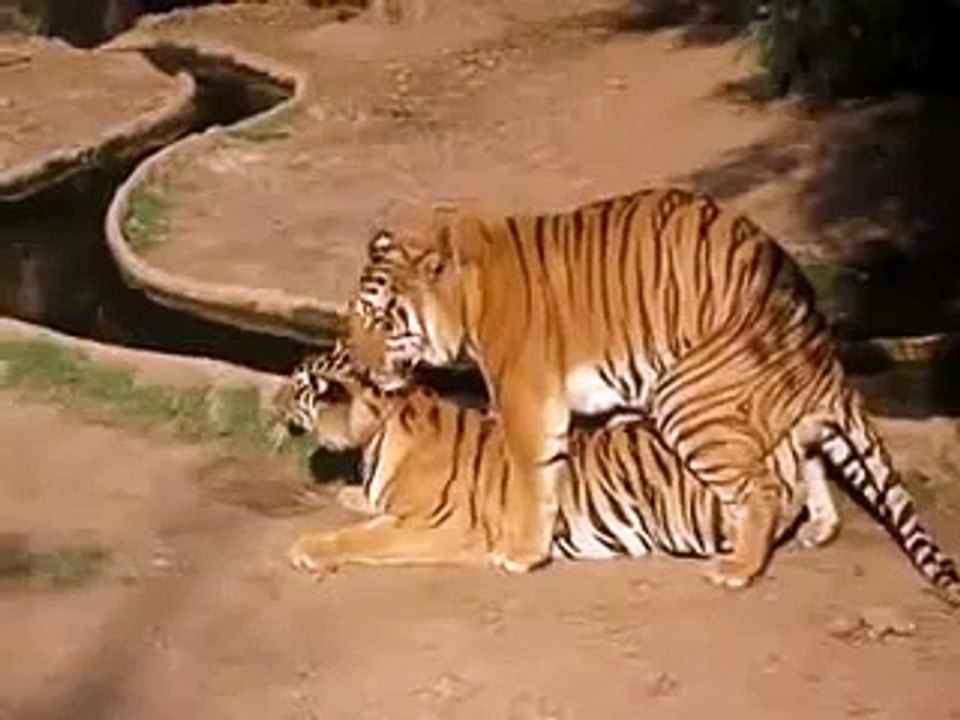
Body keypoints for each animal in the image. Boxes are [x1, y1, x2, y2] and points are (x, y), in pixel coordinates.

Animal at [272, 342, 836, 573]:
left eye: (297, 385)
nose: (273, 404)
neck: (378, 432)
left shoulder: (446, 527)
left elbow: (363, 538)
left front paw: (309, 548)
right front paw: (352, 494)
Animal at [343, 186, 960, 597]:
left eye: (382, 320)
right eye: (356, 318)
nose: (359, 367)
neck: (466, 298)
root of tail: (806, 307)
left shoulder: (526, 395)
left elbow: (527, 472)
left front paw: (522, 553)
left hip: (687, 398)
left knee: (763, 485)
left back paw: (738, 568)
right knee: (802, 454)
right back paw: (818, 529)